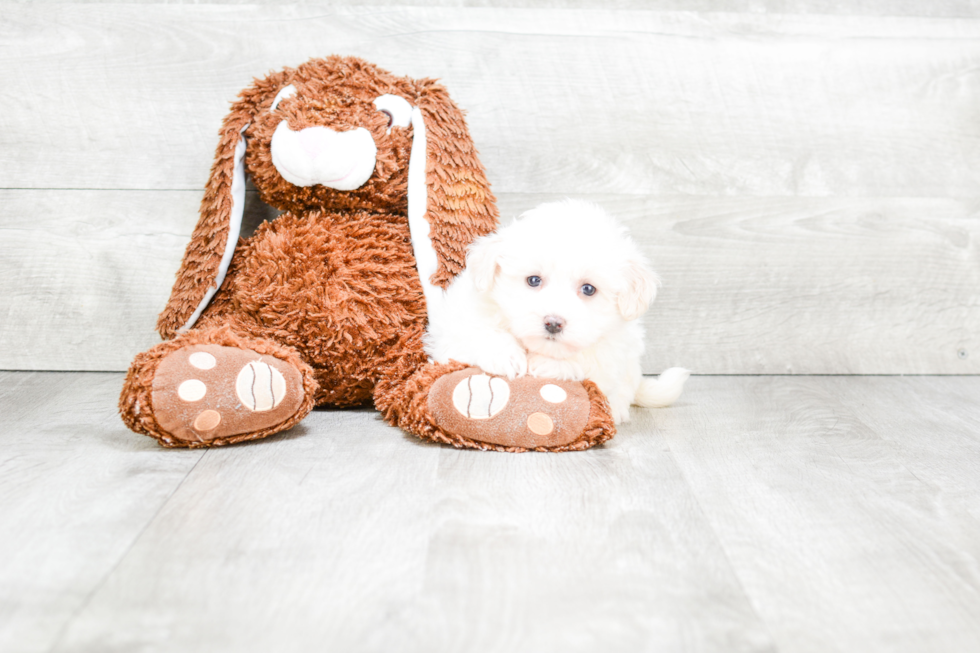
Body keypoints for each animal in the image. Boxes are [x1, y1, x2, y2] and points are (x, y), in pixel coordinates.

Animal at [426, 199, 688, 422]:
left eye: (588, 289)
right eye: (533, 280)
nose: (553, 323)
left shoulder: (615, 351)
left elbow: (588, 358)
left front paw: (547, 364)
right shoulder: (454, 329)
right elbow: (478, 333)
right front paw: (506, 356)